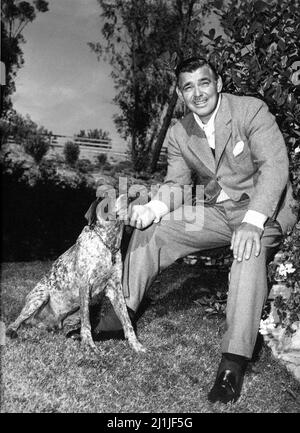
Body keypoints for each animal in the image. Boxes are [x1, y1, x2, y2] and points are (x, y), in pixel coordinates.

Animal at [4, 191, 145, 352]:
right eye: (110, 195)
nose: (133, 196)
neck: (107, 244)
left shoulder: (115, 288)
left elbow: (126, 320)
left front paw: (135, 344)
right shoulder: (84, 285)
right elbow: (87, 323)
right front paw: (89, 344)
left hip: (72, 315)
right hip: (40, 297)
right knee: (17, 321)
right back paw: (12, 331)